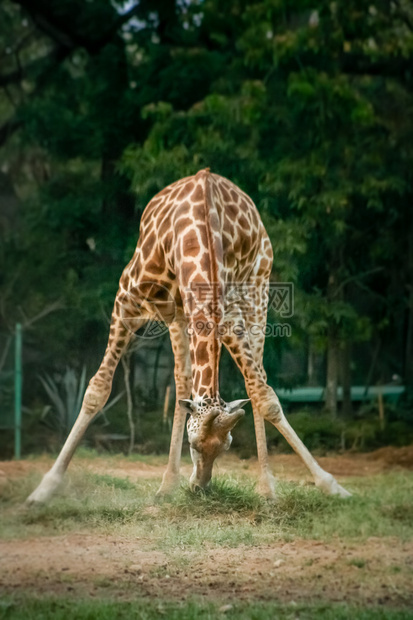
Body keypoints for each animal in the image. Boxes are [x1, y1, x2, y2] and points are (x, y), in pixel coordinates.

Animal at [25, 168, 350, 504]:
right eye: (193, 445)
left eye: (226, 447)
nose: (201, 488)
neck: (194, 238)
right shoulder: (127, 297)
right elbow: (97, 390)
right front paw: (44, 489)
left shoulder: (228, 312)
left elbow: (265, 395)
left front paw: (330, 485)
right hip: (179, 313)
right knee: (182, 380)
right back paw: (167, 484)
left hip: (258, 288)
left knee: (256, 376)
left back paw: (264, 486)